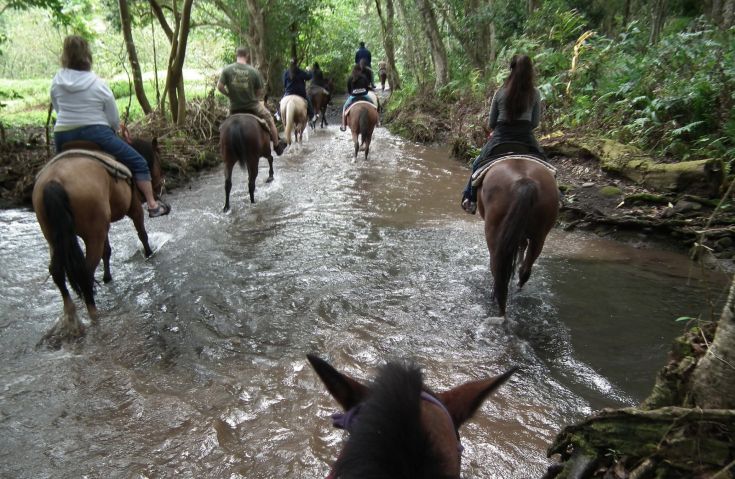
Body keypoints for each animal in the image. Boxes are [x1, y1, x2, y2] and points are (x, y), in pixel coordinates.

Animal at [32, 138, 164, 344]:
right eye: (158, 160)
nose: (159, 185)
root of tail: (55, 180)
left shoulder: (104, 227)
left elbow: (107, 251)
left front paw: (107, 277)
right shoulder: (134, 207)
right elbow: (142, 234)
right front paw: (149, 254)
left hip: (55, 238)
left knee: (57, 272)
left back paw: (72, 318)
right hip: (93, 233)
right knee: (86, 272)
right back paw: (94, 316)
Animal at [478, 148, 556, 316]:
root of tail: (524, 181)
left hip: (493, 231)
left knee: (498, 268)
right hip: (540, 235)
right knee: (525, 269)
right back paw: (517, 289)